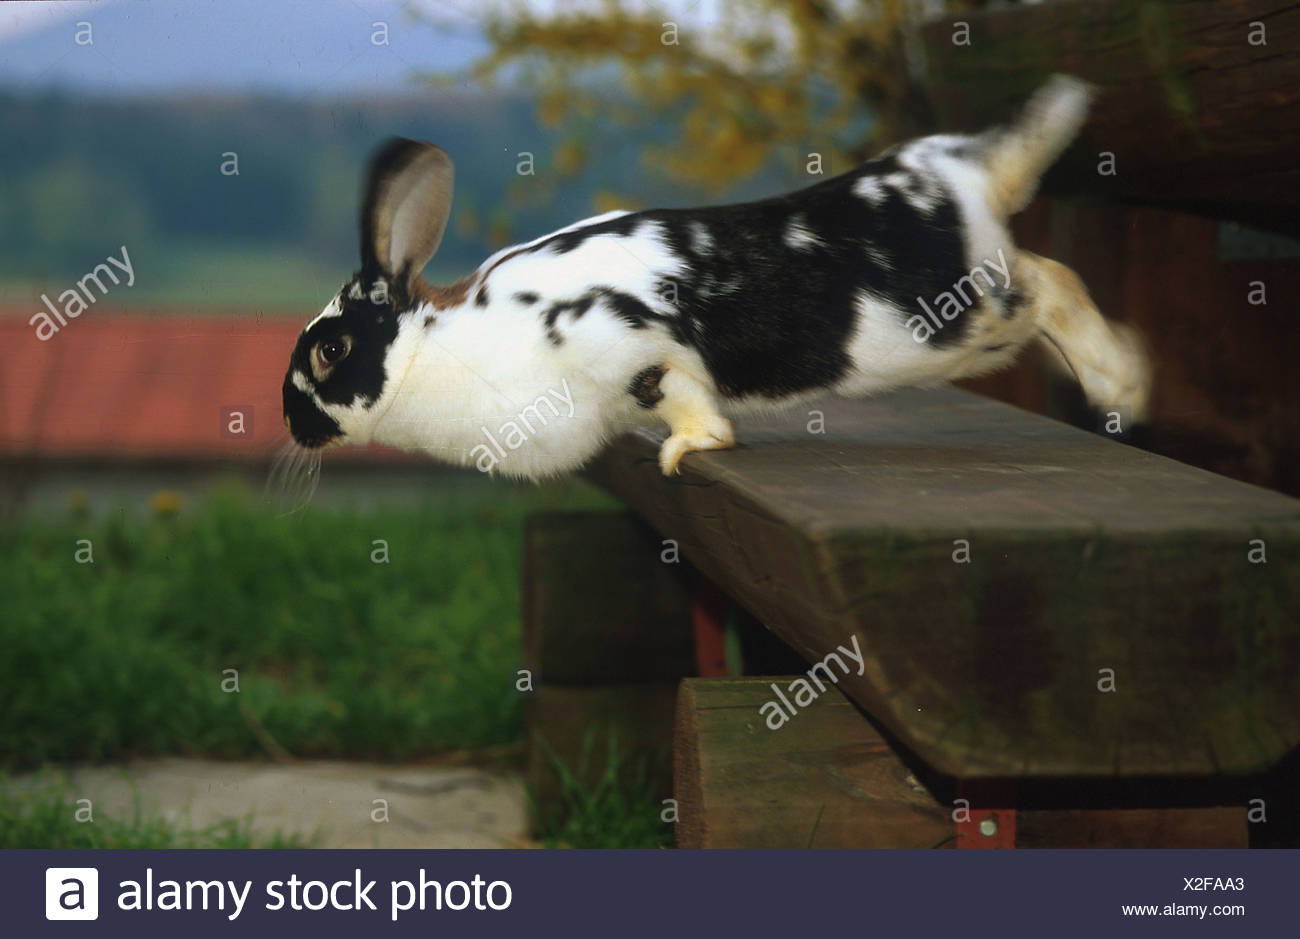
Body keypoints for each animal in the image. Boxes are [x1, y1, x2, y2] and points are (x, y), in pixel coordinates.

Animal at [282, 74, 1150, 479]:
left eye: (328, 351)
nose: (292, 425)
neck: (442, 349)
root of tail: (961, 173)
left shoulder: (633, 349)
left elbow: (688, 400)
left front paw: (687, 450)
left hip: (959, 315)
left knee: (1053, 279)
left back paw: (1125, 385)